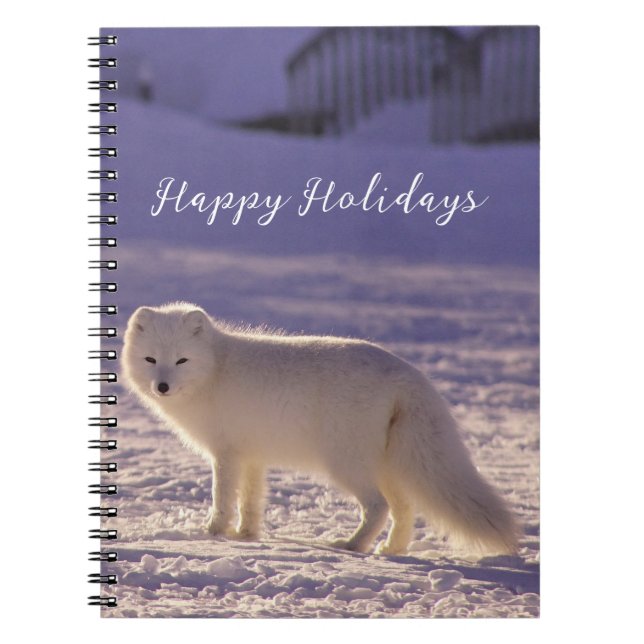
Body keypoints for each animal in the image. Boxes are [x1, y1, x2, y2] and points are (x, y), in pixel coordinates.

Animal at [122, 302, 520, 556]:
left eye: (182, 360)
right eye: (151, 360)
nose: (162, 387)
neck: (216, 370)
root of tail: (409, 374)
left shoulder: (227, 454)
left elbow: (222, 498)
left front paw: (212, 533)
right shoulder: (252, 456)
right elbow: (251, 500)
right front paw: (246, 535)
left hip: (346, 463)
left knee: (378, 507)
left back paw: (353, 546)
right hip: (388, 465)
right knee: (404, 509)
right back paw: (391, 550)